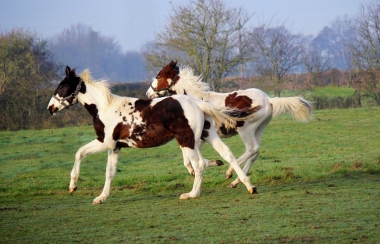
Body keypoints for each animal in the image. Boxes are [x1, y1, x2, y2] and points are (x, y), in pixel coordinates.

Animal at [46, 66, 256, 204]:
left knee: (199, 164)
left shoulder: (104, 142)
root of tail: (198, 103)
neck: (104, 108)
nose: (50, 108)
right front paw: (101, 197)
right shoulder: (115, 147)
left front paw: (73, 186)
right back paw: (249, 186)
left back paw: (191, 194)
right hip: (208, 135)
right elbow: (109, 172)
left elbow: (79, 152)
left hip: (187, 140)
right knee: (227, 154)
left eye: (62, 87)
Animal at [145, 61, 312, 189]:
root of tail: (269, 100)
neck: (197, 99)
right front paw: (198, 168)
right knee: (255, 154)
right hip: (258, 130)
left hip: (245, 129)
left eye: (159, 76)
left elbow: (187, 157)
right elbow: (187, 157)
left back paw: (230, 172)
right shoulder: (200, 138)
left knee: (252, 149)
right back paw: (235, 181)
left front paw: (196, 169)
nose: (148, 94)